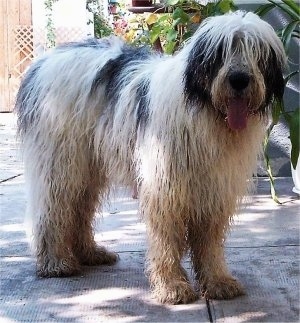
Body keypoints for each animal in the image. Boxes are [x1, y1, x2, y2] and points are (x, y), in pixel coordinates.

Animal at [15, 11, 286, 306]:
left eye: (257, 52)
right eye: (220, 52)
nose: (239, 79)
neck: (205, 114)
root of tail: (42, 62)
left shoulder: (213, 190)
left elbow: (210, 241)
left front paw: (217, 280)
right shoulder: (165, 187)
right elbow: (166, 239)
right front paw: (172, 286)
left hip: (87, 166)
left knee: (79, 209)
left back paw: (89, 252)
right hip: (61, 159)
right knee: (54, 208)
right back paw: (55, 262)